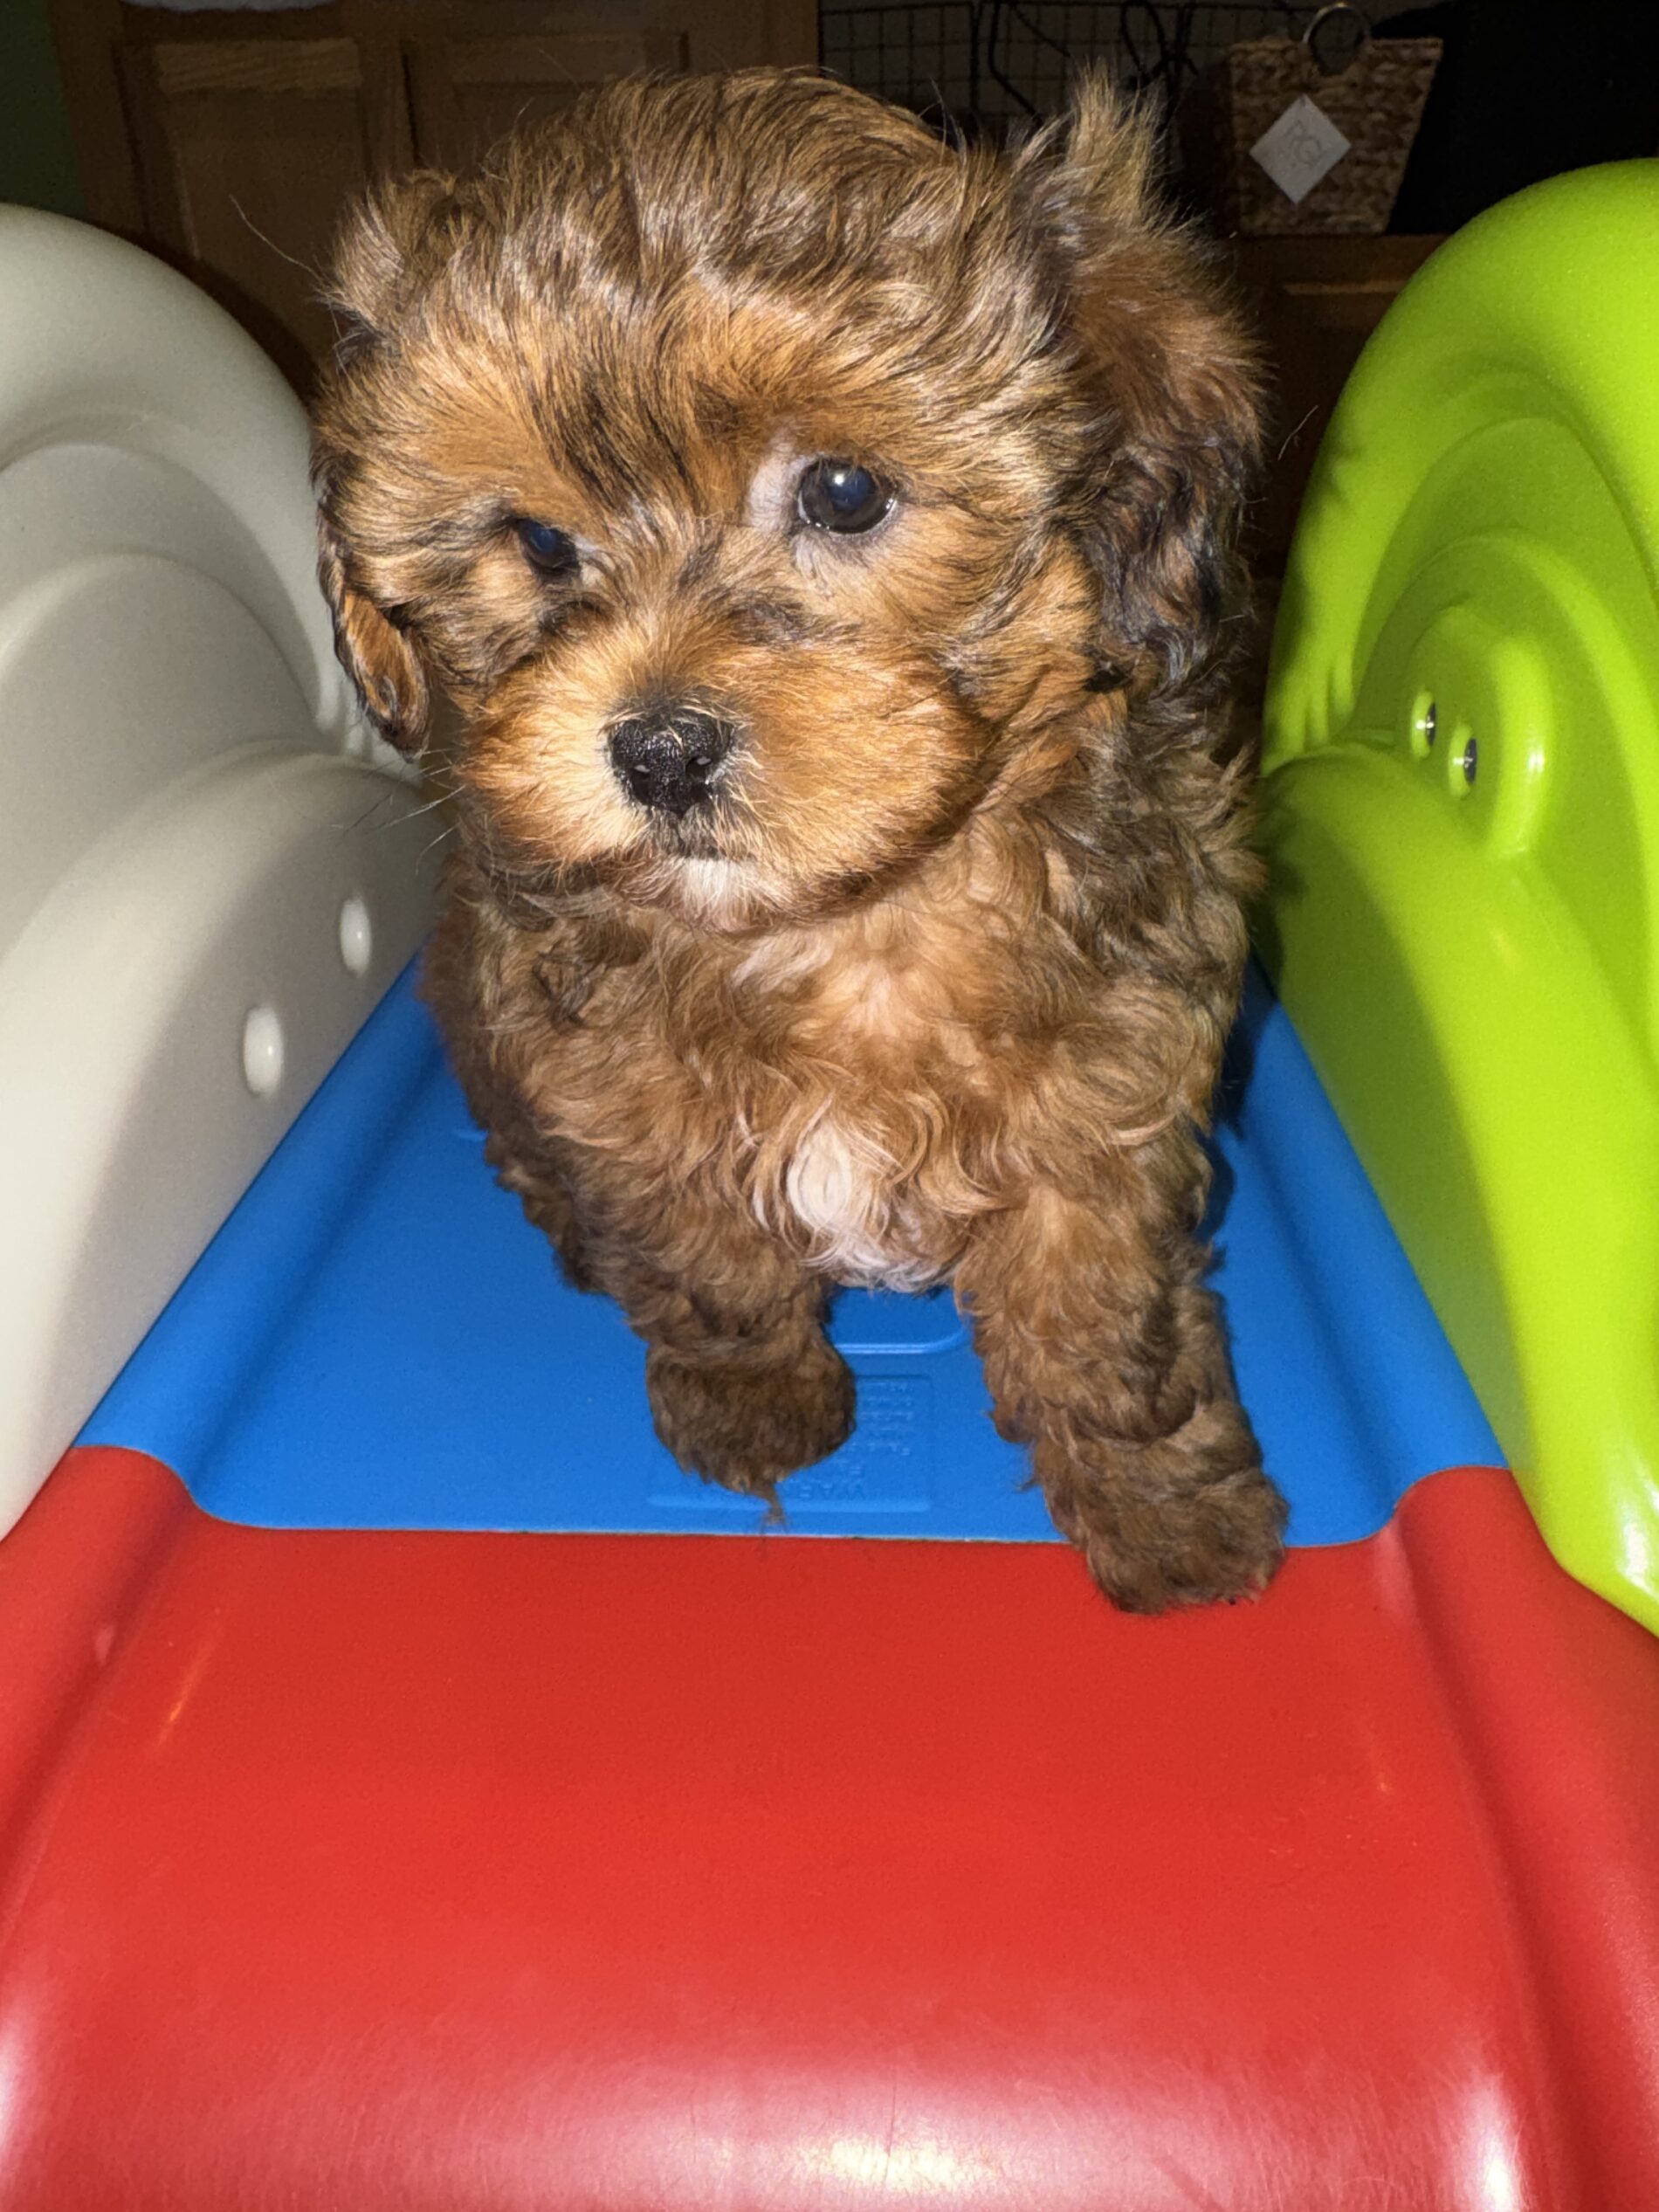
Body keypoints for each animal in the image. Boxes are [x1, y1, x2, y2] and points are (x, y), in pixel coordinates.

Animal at [311, 69, 1287, 1611]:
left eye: (842, 493)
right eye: (539, 542)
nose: (659, 749)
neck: (844, 924)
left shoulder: (1107, 1104)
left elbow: (1096, 1309)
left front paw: (1163, 1505)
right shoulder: (618, 1096)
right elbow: (709, 1259)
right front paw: (752, 1395)